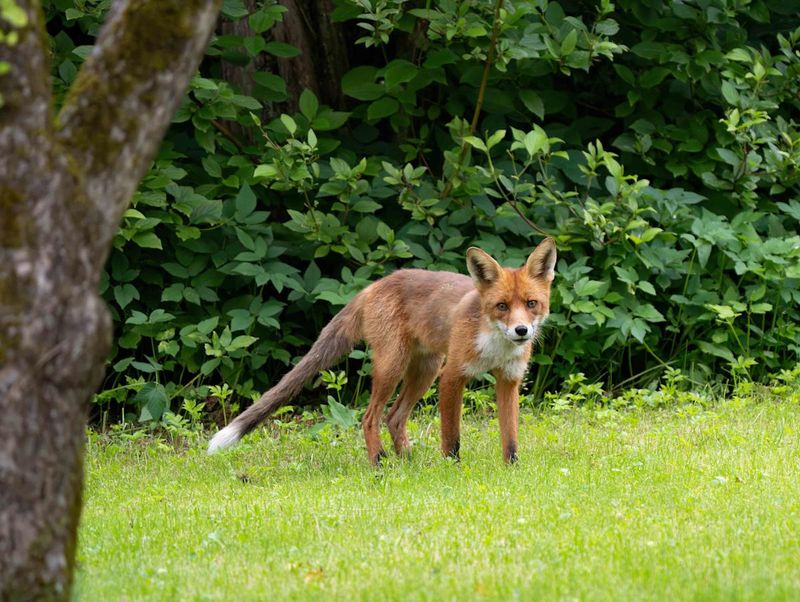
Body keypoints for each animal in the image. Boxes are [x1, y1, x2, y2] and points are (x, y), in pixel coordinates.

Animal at [208, 237, 557, 464]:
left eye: (531, 304)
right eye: (501, 306)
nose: (522, 331)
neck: (495, 346)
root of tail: (372, 285)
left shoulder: (509, 380)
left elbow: (510, 437)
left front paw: (512, 469)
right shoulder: (452, 376)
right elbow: (451, 435)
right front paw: (452, 467)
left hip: (424, 371)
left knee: (394, 417)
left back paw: (409, 461)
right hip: (395, 367)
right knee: (369, 417)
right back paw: (379, 461)